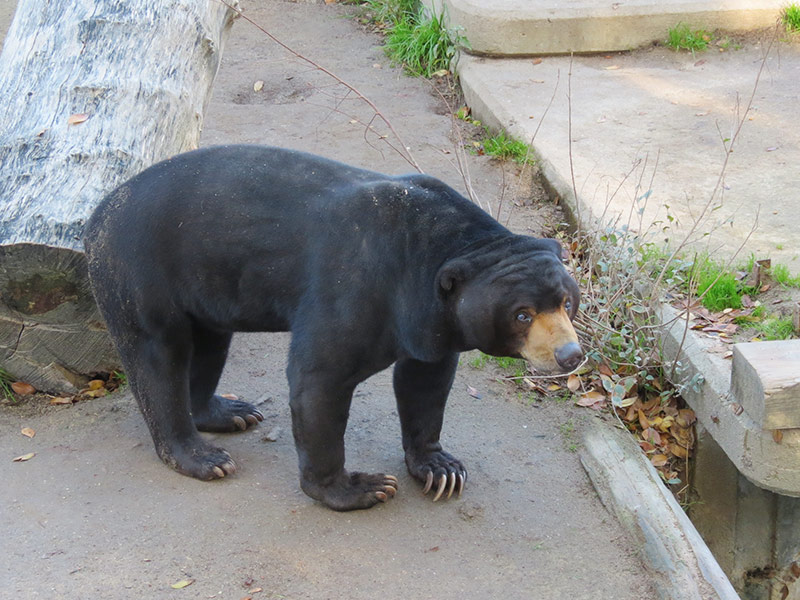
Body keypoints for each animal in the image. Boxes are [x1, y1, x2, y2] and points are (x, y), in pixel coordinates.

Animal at [83, 145, 583, 511]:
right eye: (522, 314)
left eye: (566, 302)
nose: (571, 356)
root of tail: (98, 212)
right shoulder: (360, 285)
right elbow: (319, 378)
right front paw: (362, 487)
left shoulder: (430, 320)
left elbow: (425, 382)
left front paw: (442, 469)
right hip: (138, 270)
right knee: (159, 357)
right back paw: (202, 456)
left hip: (204, 282)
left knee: (209, 346)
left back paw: (229, 411)